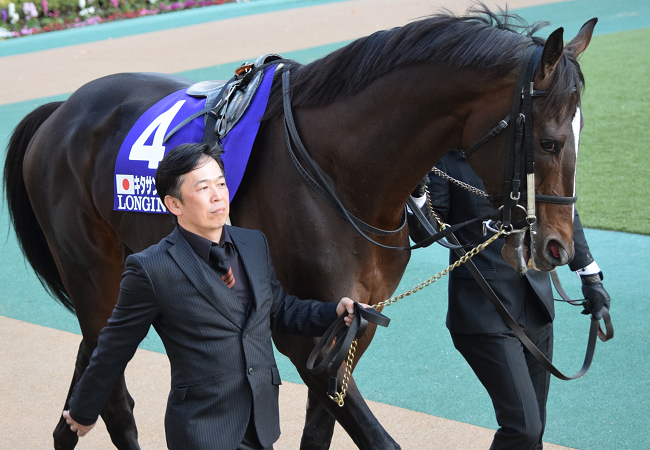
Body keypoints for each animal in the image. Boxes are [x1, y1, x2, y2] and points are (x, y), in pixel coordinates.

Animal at [3, 6, 596, 450]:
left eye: (582, 133)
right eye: (549, 142)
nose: (557, 246)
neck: (339, 172)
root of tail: (61, 111)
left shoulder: (352, 320)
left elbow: (320, 427)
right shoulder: (297, 332)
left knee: (91, 369)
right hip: (92, 274)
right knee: (112, 391)